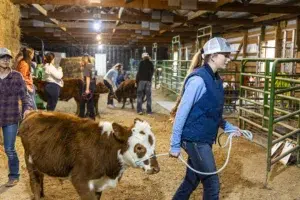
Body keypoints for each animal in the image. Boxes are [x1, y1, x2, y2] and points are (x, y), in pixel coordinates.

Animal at [18, 111, 159, 199]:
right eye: (139, 147)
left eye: (154, 144)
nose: (156, 168)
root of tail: (32, 113)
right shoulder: (80, 180)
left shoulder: (98, 184)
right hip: (29, 161)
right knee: (34, 183)